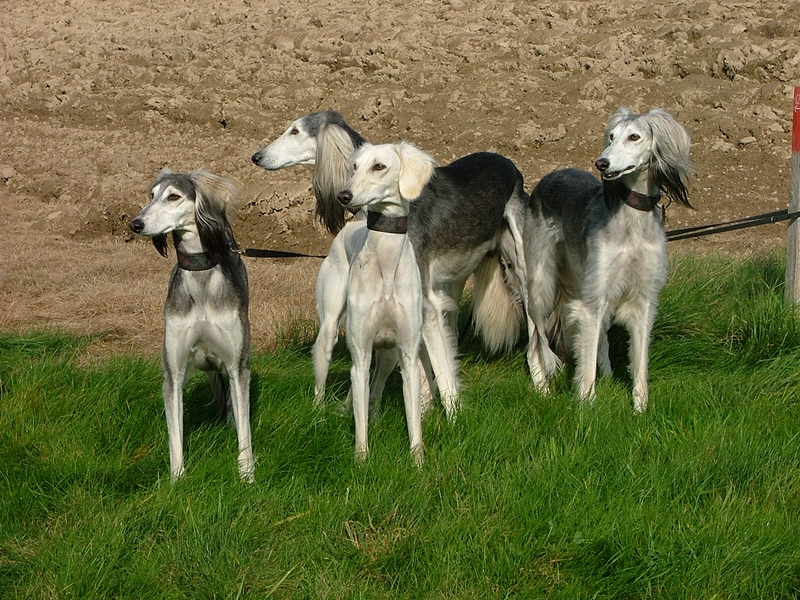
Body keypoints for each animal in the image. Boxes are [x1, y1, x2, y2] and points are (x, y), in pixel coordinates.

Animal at [129, 169, 254, 481]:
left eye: (174, 196)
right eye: (152, 195)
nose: (136, 224)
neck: (200, 277)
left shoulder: (237, 365)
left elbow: (245, 427)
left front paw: (247, 472)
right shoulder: (173, 373)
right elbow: (175, 433)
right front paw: (177, 477)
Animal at [252, 111, 527, 419]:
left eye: (295, 131)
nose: (257, 157)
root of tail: (508, 163)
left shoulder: (425, 303)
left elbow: (441, 372)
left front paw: (452, 419)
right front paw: (425, 408)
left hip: (521, 266)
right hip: (455, 279)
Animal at [336, 141, 435, 464]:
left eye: (379, 166)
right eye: (354, 167)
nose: (344, 196)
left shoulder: (408, 354)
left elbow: (413, 419)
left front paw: (418, 461)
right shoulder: (360, 355)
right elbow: (360, 419)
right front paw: (361, 459)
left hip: (389, 355)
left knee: (376, 389)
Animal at [505, 107, 692, 411]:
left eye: (634, 137)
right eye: (612, 136)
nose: (602, 163)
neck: (632, 221)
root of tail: (552, 175)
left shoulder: (644, 300)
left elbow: (640, 364)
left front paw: (640, 409)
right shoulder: (590, 303)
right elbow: (586, 362)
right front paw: (586, 405)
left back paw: (605, 373)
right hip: (541, 285)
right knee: (536, 342)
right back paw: (542, 388)